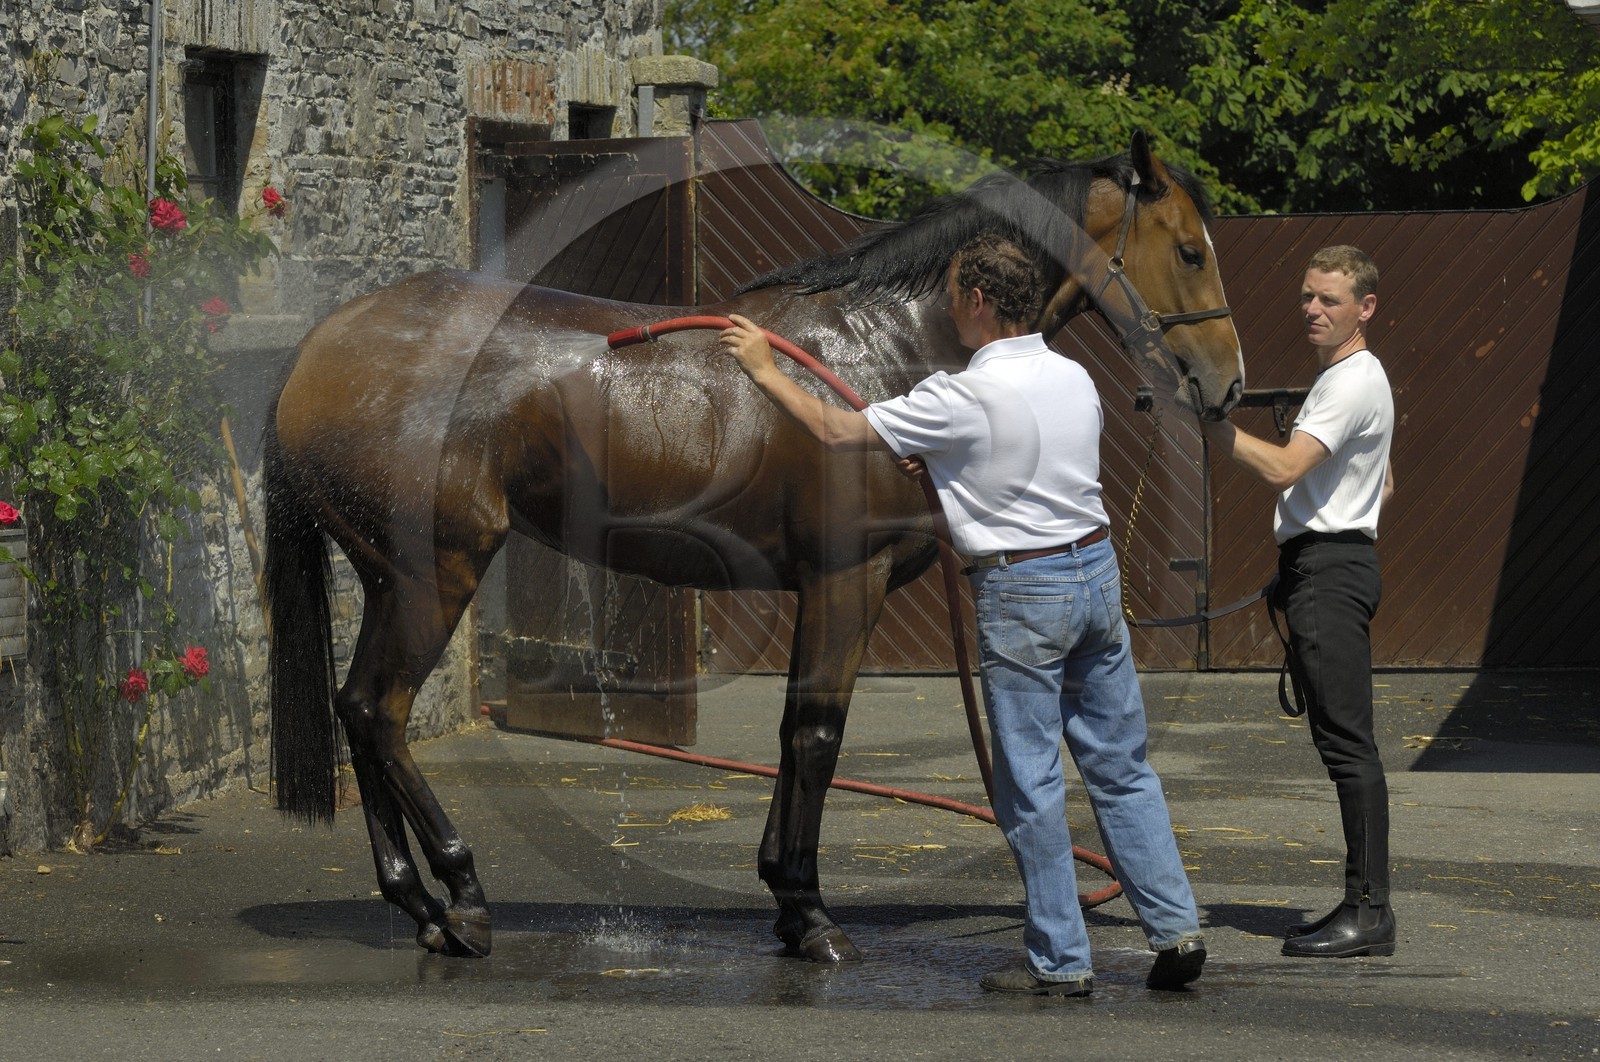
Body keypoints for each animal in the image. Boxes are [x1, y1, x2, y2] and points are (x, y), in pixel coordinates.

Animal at [262, 131, 1245, 963]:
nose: (1227, 384)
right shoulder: (849, 579)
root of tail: (319, 346)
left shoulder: (820, 587)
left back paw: (418, 902)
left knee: (357, 709)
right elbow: (817, 733)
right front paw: (810, 915)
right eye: (1191, 252)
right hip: (435, 573)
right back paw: (461, 896)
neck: (886, 353)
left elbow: (791, 729)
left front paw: (784, 893)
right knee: (381, 713)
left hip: (391, 579)